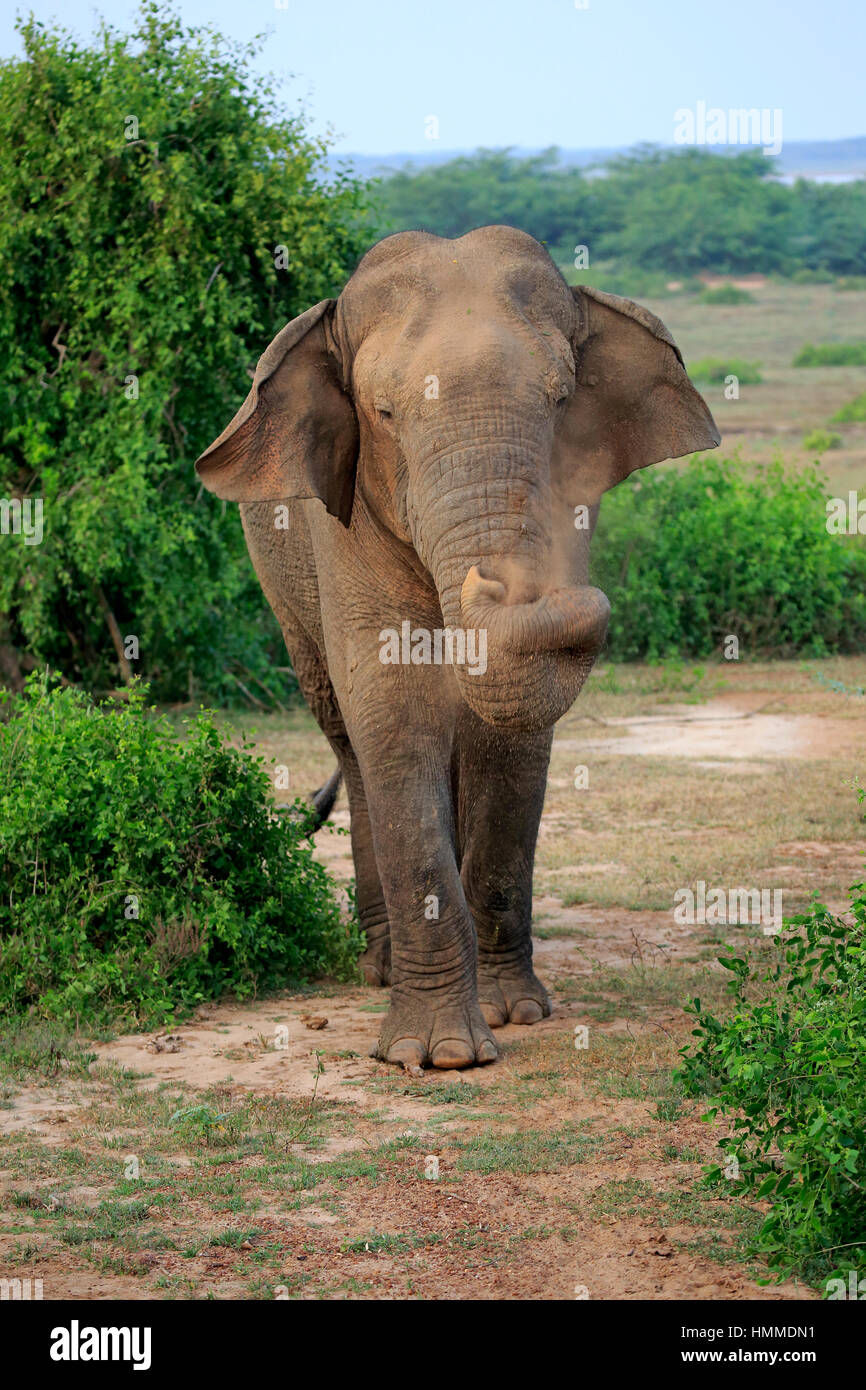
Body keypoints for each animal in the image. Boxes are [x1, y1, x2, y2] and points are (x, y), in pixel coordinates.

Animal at [194, 230, 717, 1073]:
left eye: (562, 401)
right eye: (382, 413)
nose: (566, 593)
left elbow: (512, 737)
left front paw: (515, 1014)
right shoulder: (344, 522)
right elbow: (396, 714)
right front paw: (436, 1056)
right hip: (279, 579)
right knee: (350, 739)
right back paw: (378, 967)